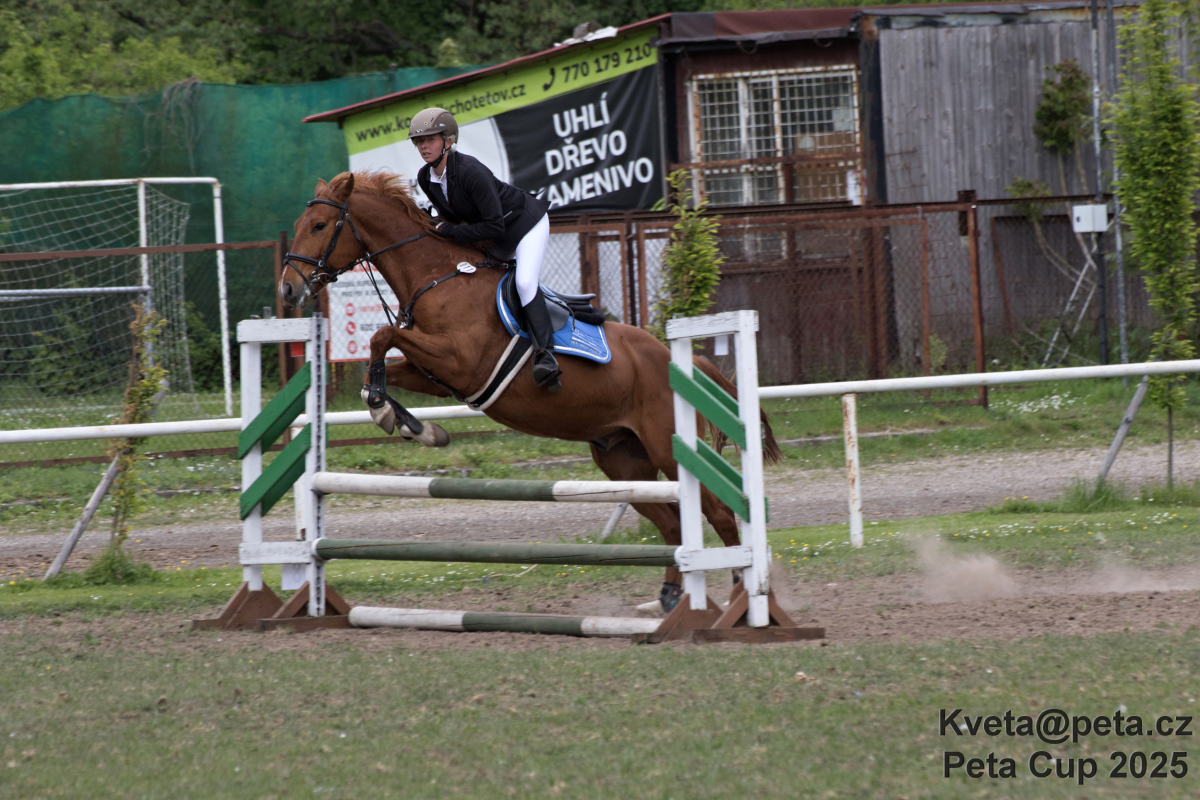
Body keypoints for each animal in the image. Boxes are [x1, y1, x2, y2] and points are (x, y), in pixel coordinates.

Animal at [278, 171, 782, 611]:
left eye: (319, 226)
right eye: (300, 226)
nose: (288, 290)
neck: (438, 276)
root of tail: (680, 362)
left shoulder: (460, 361)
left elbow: (382, 336)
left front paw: (398, 418)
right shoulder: (437, 375)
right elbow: (382, 362)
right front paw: (406, 422)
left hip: (668, 449)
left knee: (717, 515)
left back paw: (743, 595)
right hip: (624, 461)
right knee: (673, 523)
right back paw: (671, 597)